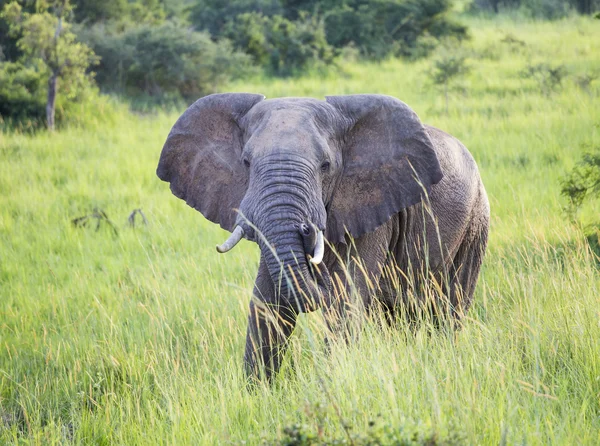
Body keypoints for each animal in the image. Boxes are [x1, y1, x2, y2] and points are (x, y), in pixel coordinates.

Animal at [157, 92, 490, 382]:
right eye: (247, 162)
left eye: (325, 166)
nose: (306, 230)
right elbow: (267, 303)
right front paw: (257, 395)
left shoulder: (375, 208)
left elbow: (347, 298)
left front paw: (329, 388)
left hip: (475, 223)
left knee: (449, 308)